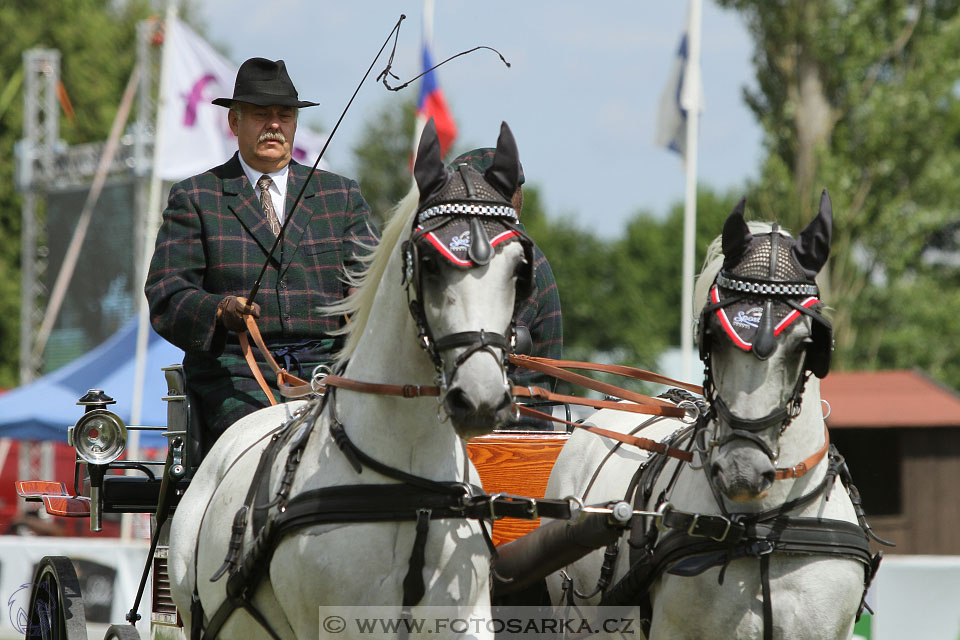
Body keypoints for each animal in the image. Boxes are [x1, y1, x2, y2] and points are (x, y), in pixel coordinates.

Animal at [169, 121, 528, 640]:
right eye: (429, 262)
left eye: (520, 268)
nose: (480, 399)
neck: (408, 485)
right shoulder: (338, 624)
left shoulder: (467, 618)